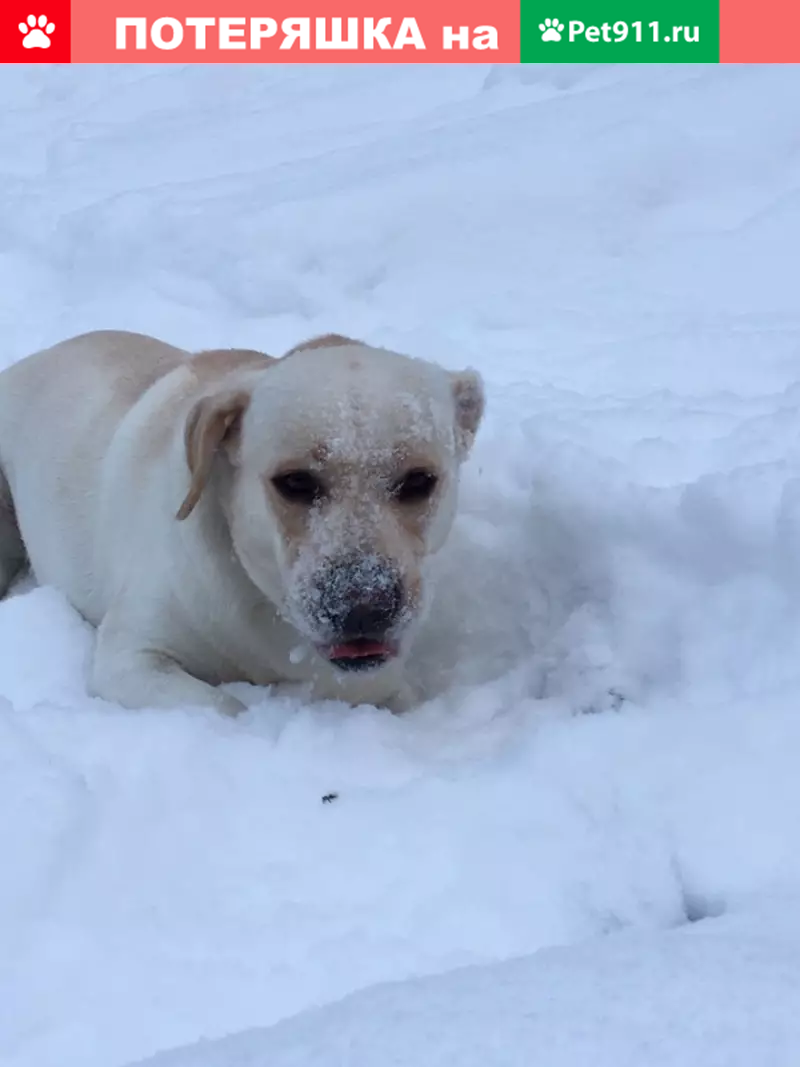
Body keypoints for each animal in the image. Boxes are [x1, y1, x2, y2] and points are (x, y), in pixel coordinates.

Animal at [0, 330, 486, 717]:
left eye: (419, 481)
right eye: (295, 482)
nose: (364, 606)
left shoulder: (377, 682)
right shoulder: (131, 656)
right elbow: (225, 707)